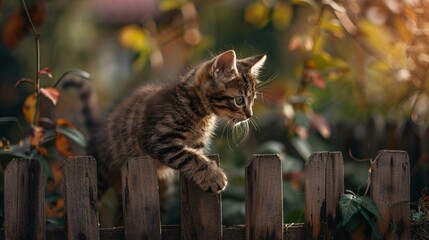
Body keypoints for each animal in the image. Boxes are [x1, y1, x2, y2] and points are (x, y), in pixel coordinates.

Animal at [96, 50, 264, 193]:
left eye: (253, 100)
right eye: (239, 100)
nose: (249, 115)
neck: (198, 112)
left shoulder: (197, 145)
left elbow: (194, 154)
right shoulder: (158, 139)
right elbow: (189, 157)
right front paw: (213, 176)